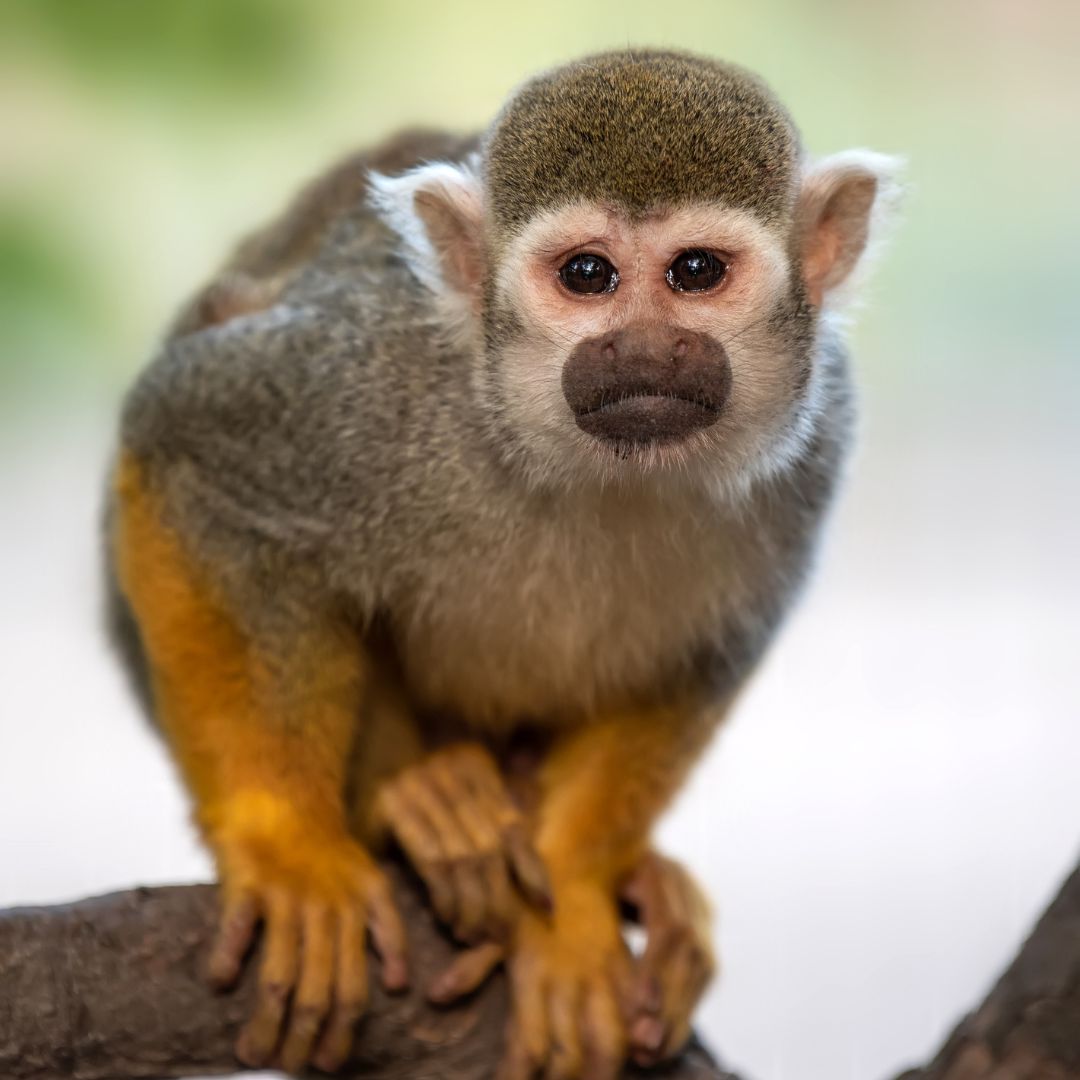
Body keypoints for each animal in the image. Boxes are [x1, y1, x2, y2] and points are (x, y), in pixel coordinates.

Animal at [105, 48, 900, 1079]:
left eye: (696, 272)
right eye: (588, 275)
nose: (641, 351)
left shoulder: (819, 441)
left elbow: (708, 651)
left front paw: (570, 901)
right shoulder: (367, 383)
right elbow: (186, 447)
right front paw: (287, 851)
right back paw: (424, 803)